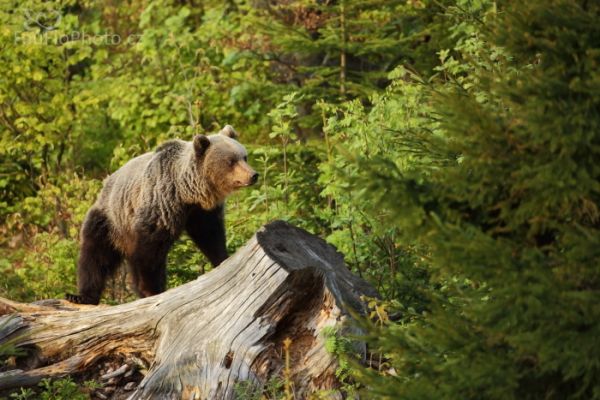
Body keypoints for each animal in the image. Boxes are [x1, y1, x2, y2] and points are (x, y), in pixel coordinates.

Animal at [66, 126, 258, 304]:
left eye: (244, 157)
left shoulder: (201, 212)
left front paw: (223, 259)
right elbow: (149, 251)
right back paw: (82, 295)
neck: (187, 193)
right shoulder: (161, 205)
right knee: (95, 256)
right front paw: (150, 290)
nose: (253, 175)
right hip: (110, 220)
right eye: (231, 161)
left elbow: (210, 236)